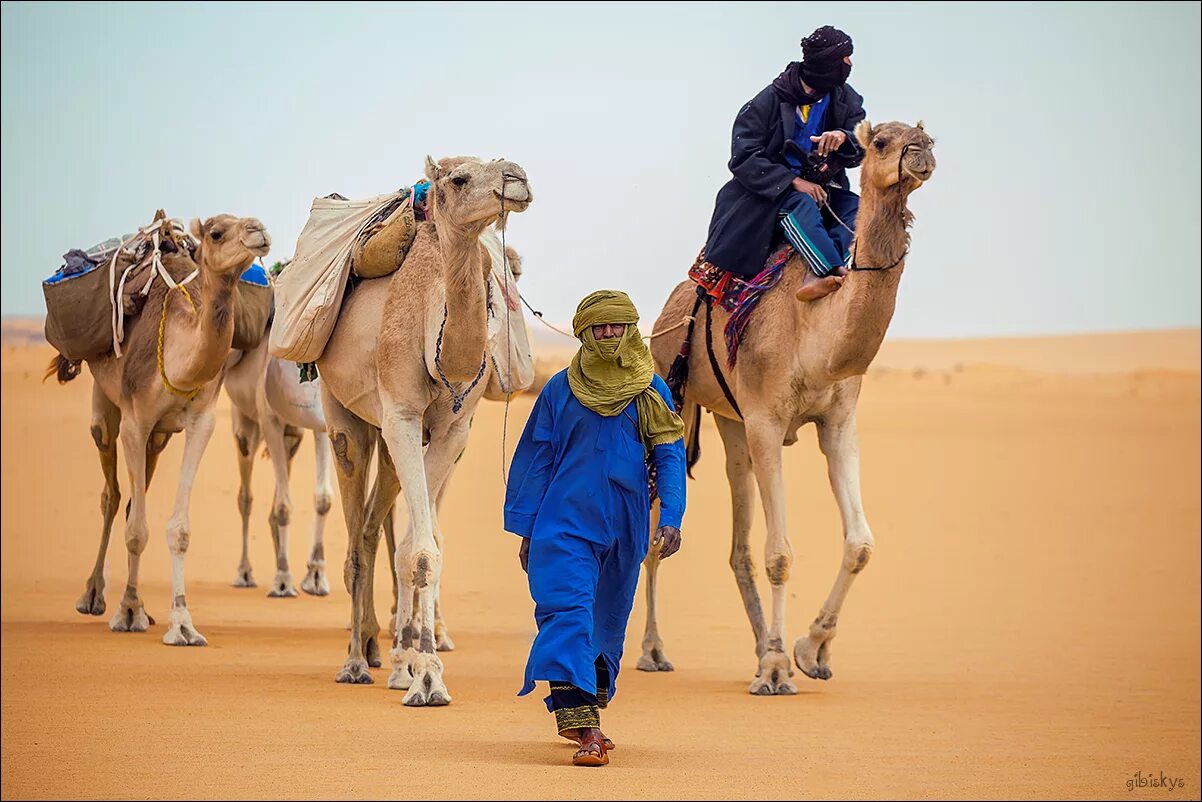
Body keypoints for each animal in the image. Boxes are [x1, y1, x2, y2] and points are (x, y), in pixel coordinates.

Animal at [64, 212, 271, 644]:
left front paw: (182, 623)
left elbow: (178, 530)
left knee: (131, 497)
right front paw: (127, 611)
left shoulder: (201, 422)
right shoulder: (135, 420)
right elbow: (136, 530)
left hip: (159, 437)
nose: (258, 230)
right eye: (216, 232)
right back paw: (93, 595)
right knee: (112, 494)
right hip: (106, 404)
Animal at [222, 336, 331, 598]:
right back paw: (244, 574)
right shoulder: (269, 420)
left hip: (292, 438)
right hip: (244, 426)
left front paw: (316, 577)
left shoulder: (322, 424)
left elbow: (323, 499)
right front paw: (282, 581)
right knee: (245, 497)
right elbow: (283, 507)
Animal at [314, 155, 531, 702]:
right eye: (459, 178)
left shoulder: (453, 432)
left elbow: (419, 544)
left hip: (392, 437)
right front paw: (426, 675)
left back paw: (381, 651)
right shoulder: (403, 418)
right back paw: (355, 660)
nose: (517, 178)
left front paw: (416, 665)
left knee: (377, 528)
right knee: (356, 536)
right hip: (345, 414)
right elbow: (421, 548)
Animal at [644, 122, 932, 692]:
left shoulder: (837, 422)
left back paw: (759, 646)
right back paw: (651, 650)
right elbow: (779, 553)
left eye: (924, 135)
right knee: (652, 541)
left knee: (736, 539)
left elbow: (860, 544)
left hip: (729, 421)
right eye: (882, 142)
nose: (922, 154)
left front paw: (807, 650)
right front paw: (778, 669)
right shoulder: (766, 420)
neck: (814, 331)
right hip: (677, 400)